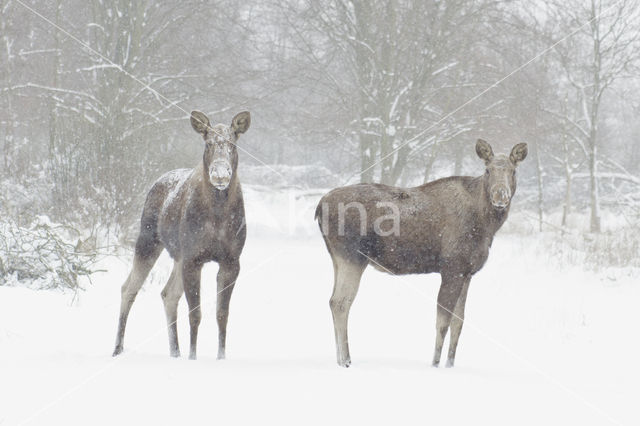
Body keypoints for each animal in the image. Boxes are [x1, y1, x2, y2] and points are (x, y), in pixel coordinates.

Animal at [112, 110, 250, 360]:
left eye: (233, 144)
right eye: (208, 143)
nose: (220, 174)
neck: (218, 215)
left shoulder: (231, 260)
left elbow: (222, 314)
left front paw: (220, 357)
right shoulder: (193, 258)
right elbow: (195, 314)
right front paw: (192, 356)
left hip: (177, 255)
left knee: (168, 294)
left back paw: (175, 352)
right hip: (148, 240)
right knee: (129, 288)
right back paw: (118, 348)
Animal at [316, 140, 528, 366]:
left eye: (514, 171)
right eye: (487, 170)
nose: (500, 195)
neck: (487, 226)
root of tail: (319, 206)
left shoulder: (467, 273)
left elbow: (459, 323)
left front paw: (450, 365)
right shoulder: (452, 268)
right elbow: (442, 322)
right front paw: (435, 364)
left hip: (337, 259)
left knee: (332, 301)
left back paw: (340, 360)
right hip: (352, 256)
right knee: (341, 302)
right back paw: (346, 360)